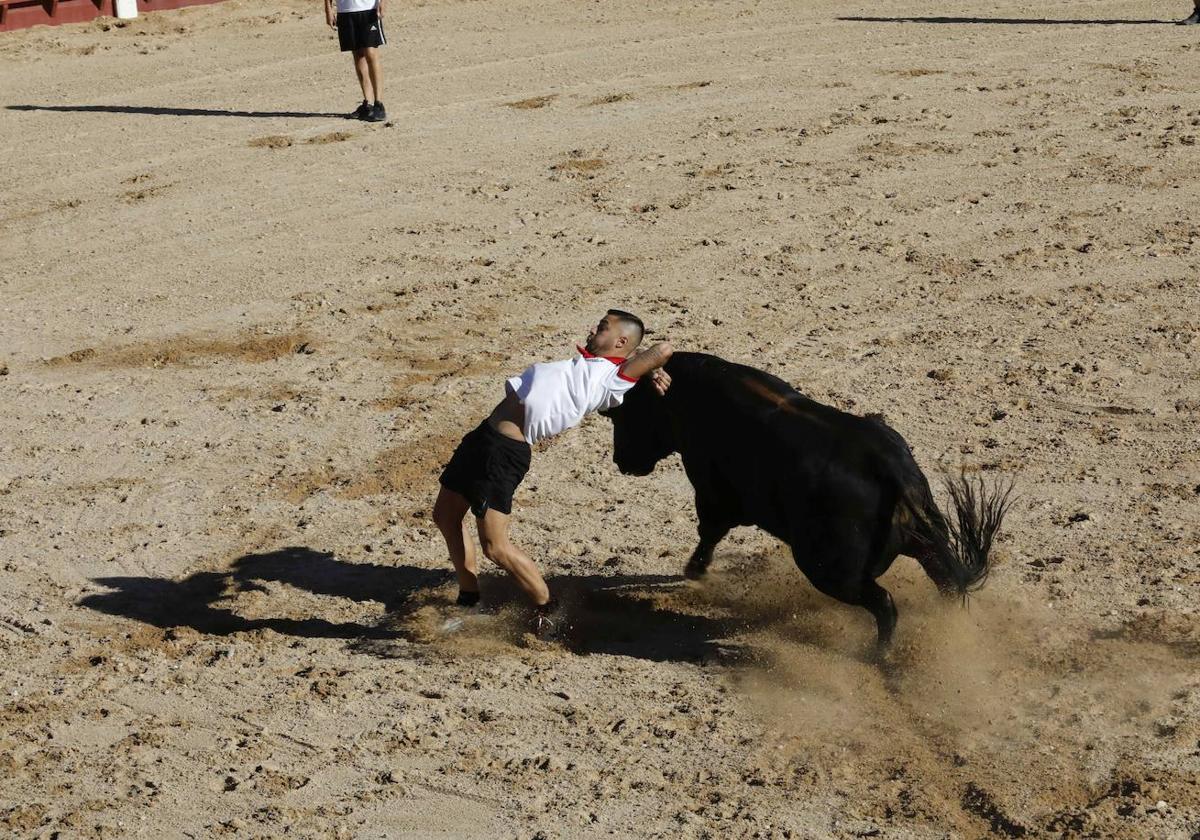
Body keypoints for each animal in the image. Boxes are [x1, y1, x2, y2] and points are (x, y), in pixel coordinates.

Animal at [600, 350, 1012, 648]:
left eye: (625, 414)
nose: (621, 461)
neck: (689, 396)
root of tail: (890, 469)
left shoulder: (713, 494)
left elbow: (709, 532)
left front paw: (694, 573)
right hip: (923, 544)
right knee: (946, 585)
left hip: (830, 571)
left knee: (885, 605)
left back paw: (877, 654)